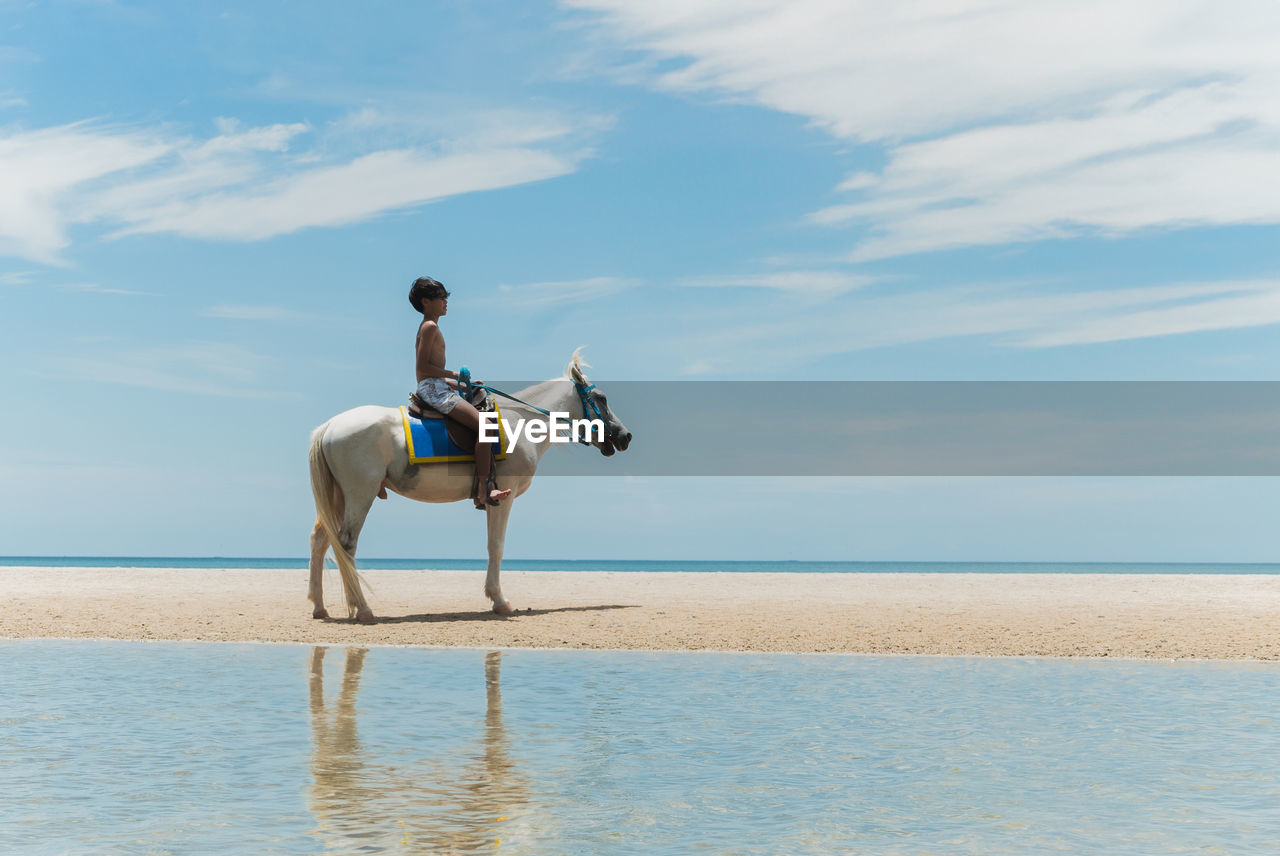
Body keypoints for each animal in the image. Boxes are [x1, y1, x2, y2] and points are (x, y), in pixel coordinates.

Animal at [307, 350, 632, 624]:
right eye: (600, 398)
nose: (625, 436)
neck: (520, 423)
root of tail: (330, 426)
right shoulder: (503, 496)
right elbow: (496, 546)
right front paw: (500, 601)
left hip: (338, 496)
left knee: (321, 541)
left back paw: (320, 607)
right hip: (359, 494)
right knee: (346, 543)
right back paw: (362, 608)